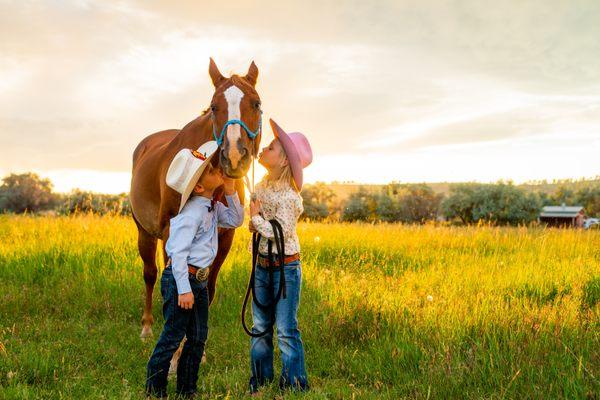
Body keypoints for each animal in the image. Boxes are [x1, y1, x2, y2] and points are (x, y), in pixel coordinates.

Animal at [130, 58, 262, 338]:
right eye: (214, 107)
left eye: (256, 104)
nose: (234, 157)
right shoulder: (171, 228)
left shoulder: (225, 237)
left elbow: (207, 290)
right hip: (145, 232)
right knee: (150, 274)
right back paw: (147, 325)